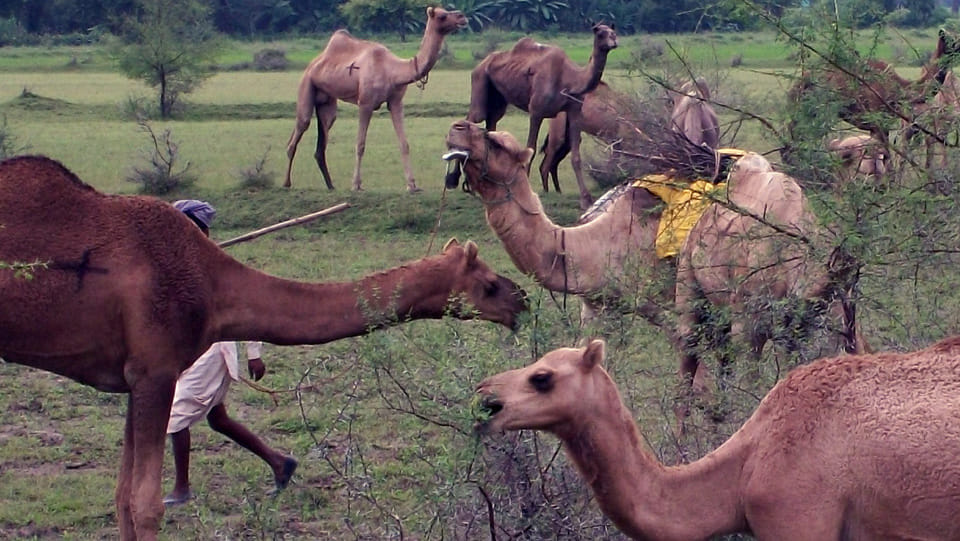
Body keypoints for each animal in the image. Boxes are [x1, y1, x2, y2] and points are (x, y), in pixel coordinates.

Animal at [0, 155, 525, 540]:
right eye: (487, 283)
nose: (520, 297)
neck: (211, 287)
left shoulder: (134, 376)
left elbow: (122, 498)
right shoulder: (156, 369)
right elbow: (144, 504)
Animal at [284, 7, 467, 192]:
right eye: (442, 15)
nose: (462, 16)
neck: (393, 71)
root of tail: (314, 63)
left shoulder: (396, 102)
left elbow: (404, 144)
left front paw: (412, 185)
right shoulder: (365, 103)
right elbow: (360, 144)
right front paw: (356, 185)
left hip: (327, 100)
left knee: (322, 139)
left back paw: (330, 185)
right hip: (306, 85)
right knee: (299, 130)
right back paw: (286, 183)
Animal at [444, 121, 861, 414]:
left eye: (497, 142)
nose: (457, 128)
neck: (589, 242)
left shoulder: (664, 302)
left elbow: (696, 379)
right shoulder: (597, 305)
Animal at [466, 23, 619, 209]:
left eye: (613, 32)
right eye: (601, 33)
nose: (614, 42)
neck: (569, 80)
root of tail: (482, 63)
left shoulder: (575, 110)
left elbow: (576, 156)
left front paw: (586, 199)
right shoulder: (536, 111)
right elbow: (530, 149)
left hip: (498, 99)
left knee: (491, 123)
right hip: (480, 79)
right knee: (472, 119)